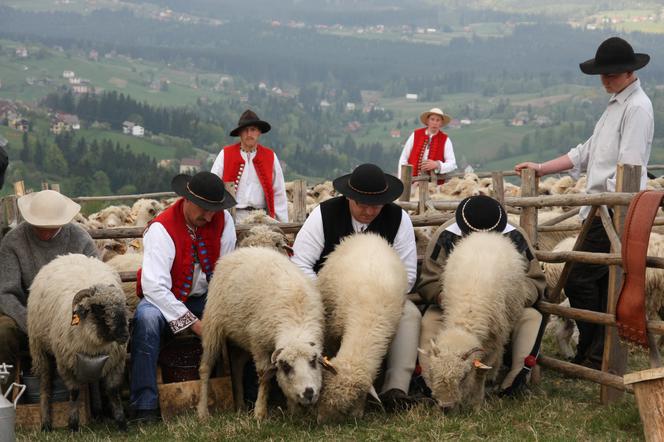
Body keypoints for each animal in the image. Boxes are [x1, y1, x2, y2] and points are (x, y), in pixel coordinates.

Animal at [27, 256, 129, 432]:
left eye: (122, 304)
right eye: (98, 308)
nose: (124, 335)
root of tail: (64, 256)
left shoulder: (116, 362)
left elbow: (113, 391)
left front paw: (121, 424)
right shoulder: (65, 363)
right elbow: (74, 392)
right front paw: (73, 425)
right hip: (39, 348)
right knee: (45, 384)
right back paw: (46, 424)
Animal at [197, 247, 326, 420]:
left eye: (313, 362)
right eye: (286, 367)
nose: (309, 393)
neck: (296, 322)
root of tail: (241, 250)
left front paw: (293, 410)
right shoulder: (259, 346)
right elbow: (265, 376)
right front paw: (259, 413)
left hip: (242, 336)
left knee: (237, 365)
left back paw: (240, 405)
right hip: (213, 325)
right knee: (205, 368)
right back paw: (202, 412)